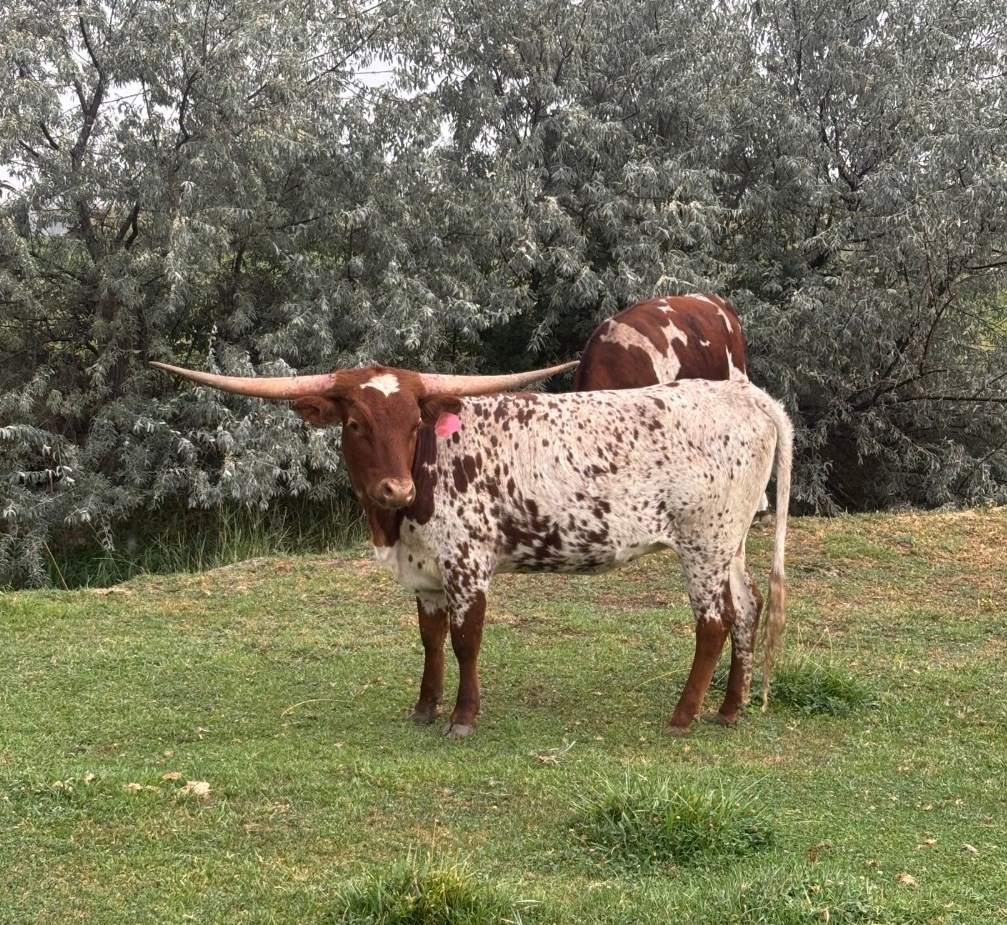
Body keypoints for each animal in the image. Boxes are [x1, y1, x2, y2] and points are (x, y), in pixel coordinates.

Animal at [152, 358, 792, 738]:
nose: (396, 488)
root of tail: (751, 396)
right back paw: (729, 710)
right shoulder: (428, 573)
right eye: (356, 423)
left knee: (714, 621)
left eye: (414, 422)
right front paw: (424, 707)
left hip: (703, 541)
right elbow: (431, 639)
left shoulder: (467, 564)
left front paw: (461, 717)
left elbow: (466, 640)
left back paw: (684, 716)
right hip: (731, 542)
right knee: (748, 608)